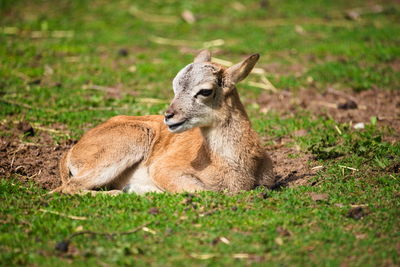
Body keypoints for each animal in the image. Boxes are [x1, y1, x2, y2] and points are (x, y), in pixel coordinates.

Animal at [50, 50, 276, 196]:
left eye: (205, 91)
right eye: (175, 86)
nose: (169, 116)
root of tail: (74, 150)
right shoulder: (163, 168)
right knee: (68, 187)